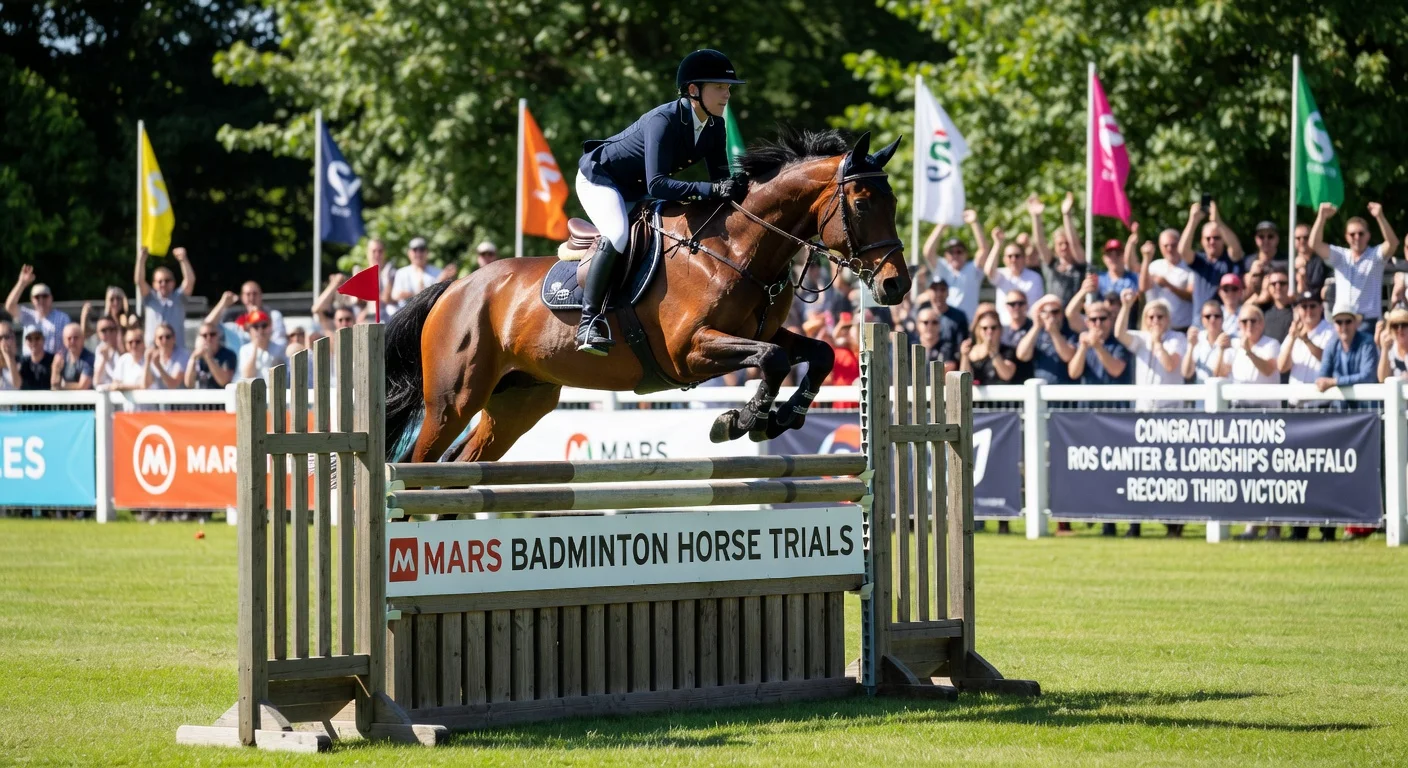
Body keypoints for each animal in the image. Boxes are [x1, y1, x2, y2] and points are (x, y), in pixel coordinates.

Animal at [384, 129, 910, 464]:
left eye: (894, 203)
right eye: (862, 203)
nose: (896, 285)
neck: (738, 248)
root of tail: (456, 287)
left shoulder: (760, 331)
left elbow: (816, 353)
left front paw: (783, 417)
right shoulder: (689, 350)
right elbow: (774, 359)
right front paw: (743, 420)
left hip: (519, 400)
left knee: (462, 465)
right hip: (453, 401)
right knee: (418, 463)